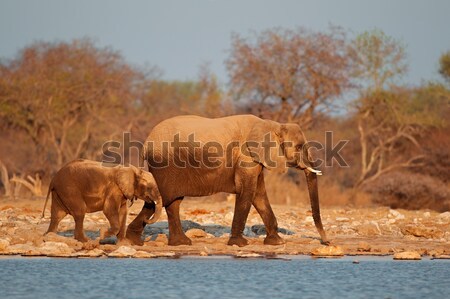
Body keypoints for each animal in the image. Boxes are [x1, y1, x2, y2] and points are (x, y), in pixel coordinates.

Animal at [125, 114, 328, 246]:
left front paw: (276, 243)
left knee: (172, 202)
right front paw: (240, 244)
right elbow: (247, 192)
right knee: (160, 200)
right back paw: (135, 241)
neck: (273, 125)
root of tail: (145, 144)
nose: (326, 242)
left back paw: (177, 243)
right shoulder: (246, 156)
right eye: (299, 147)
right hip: (165, 166)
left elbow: (258, 194)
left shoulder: (254, 159)